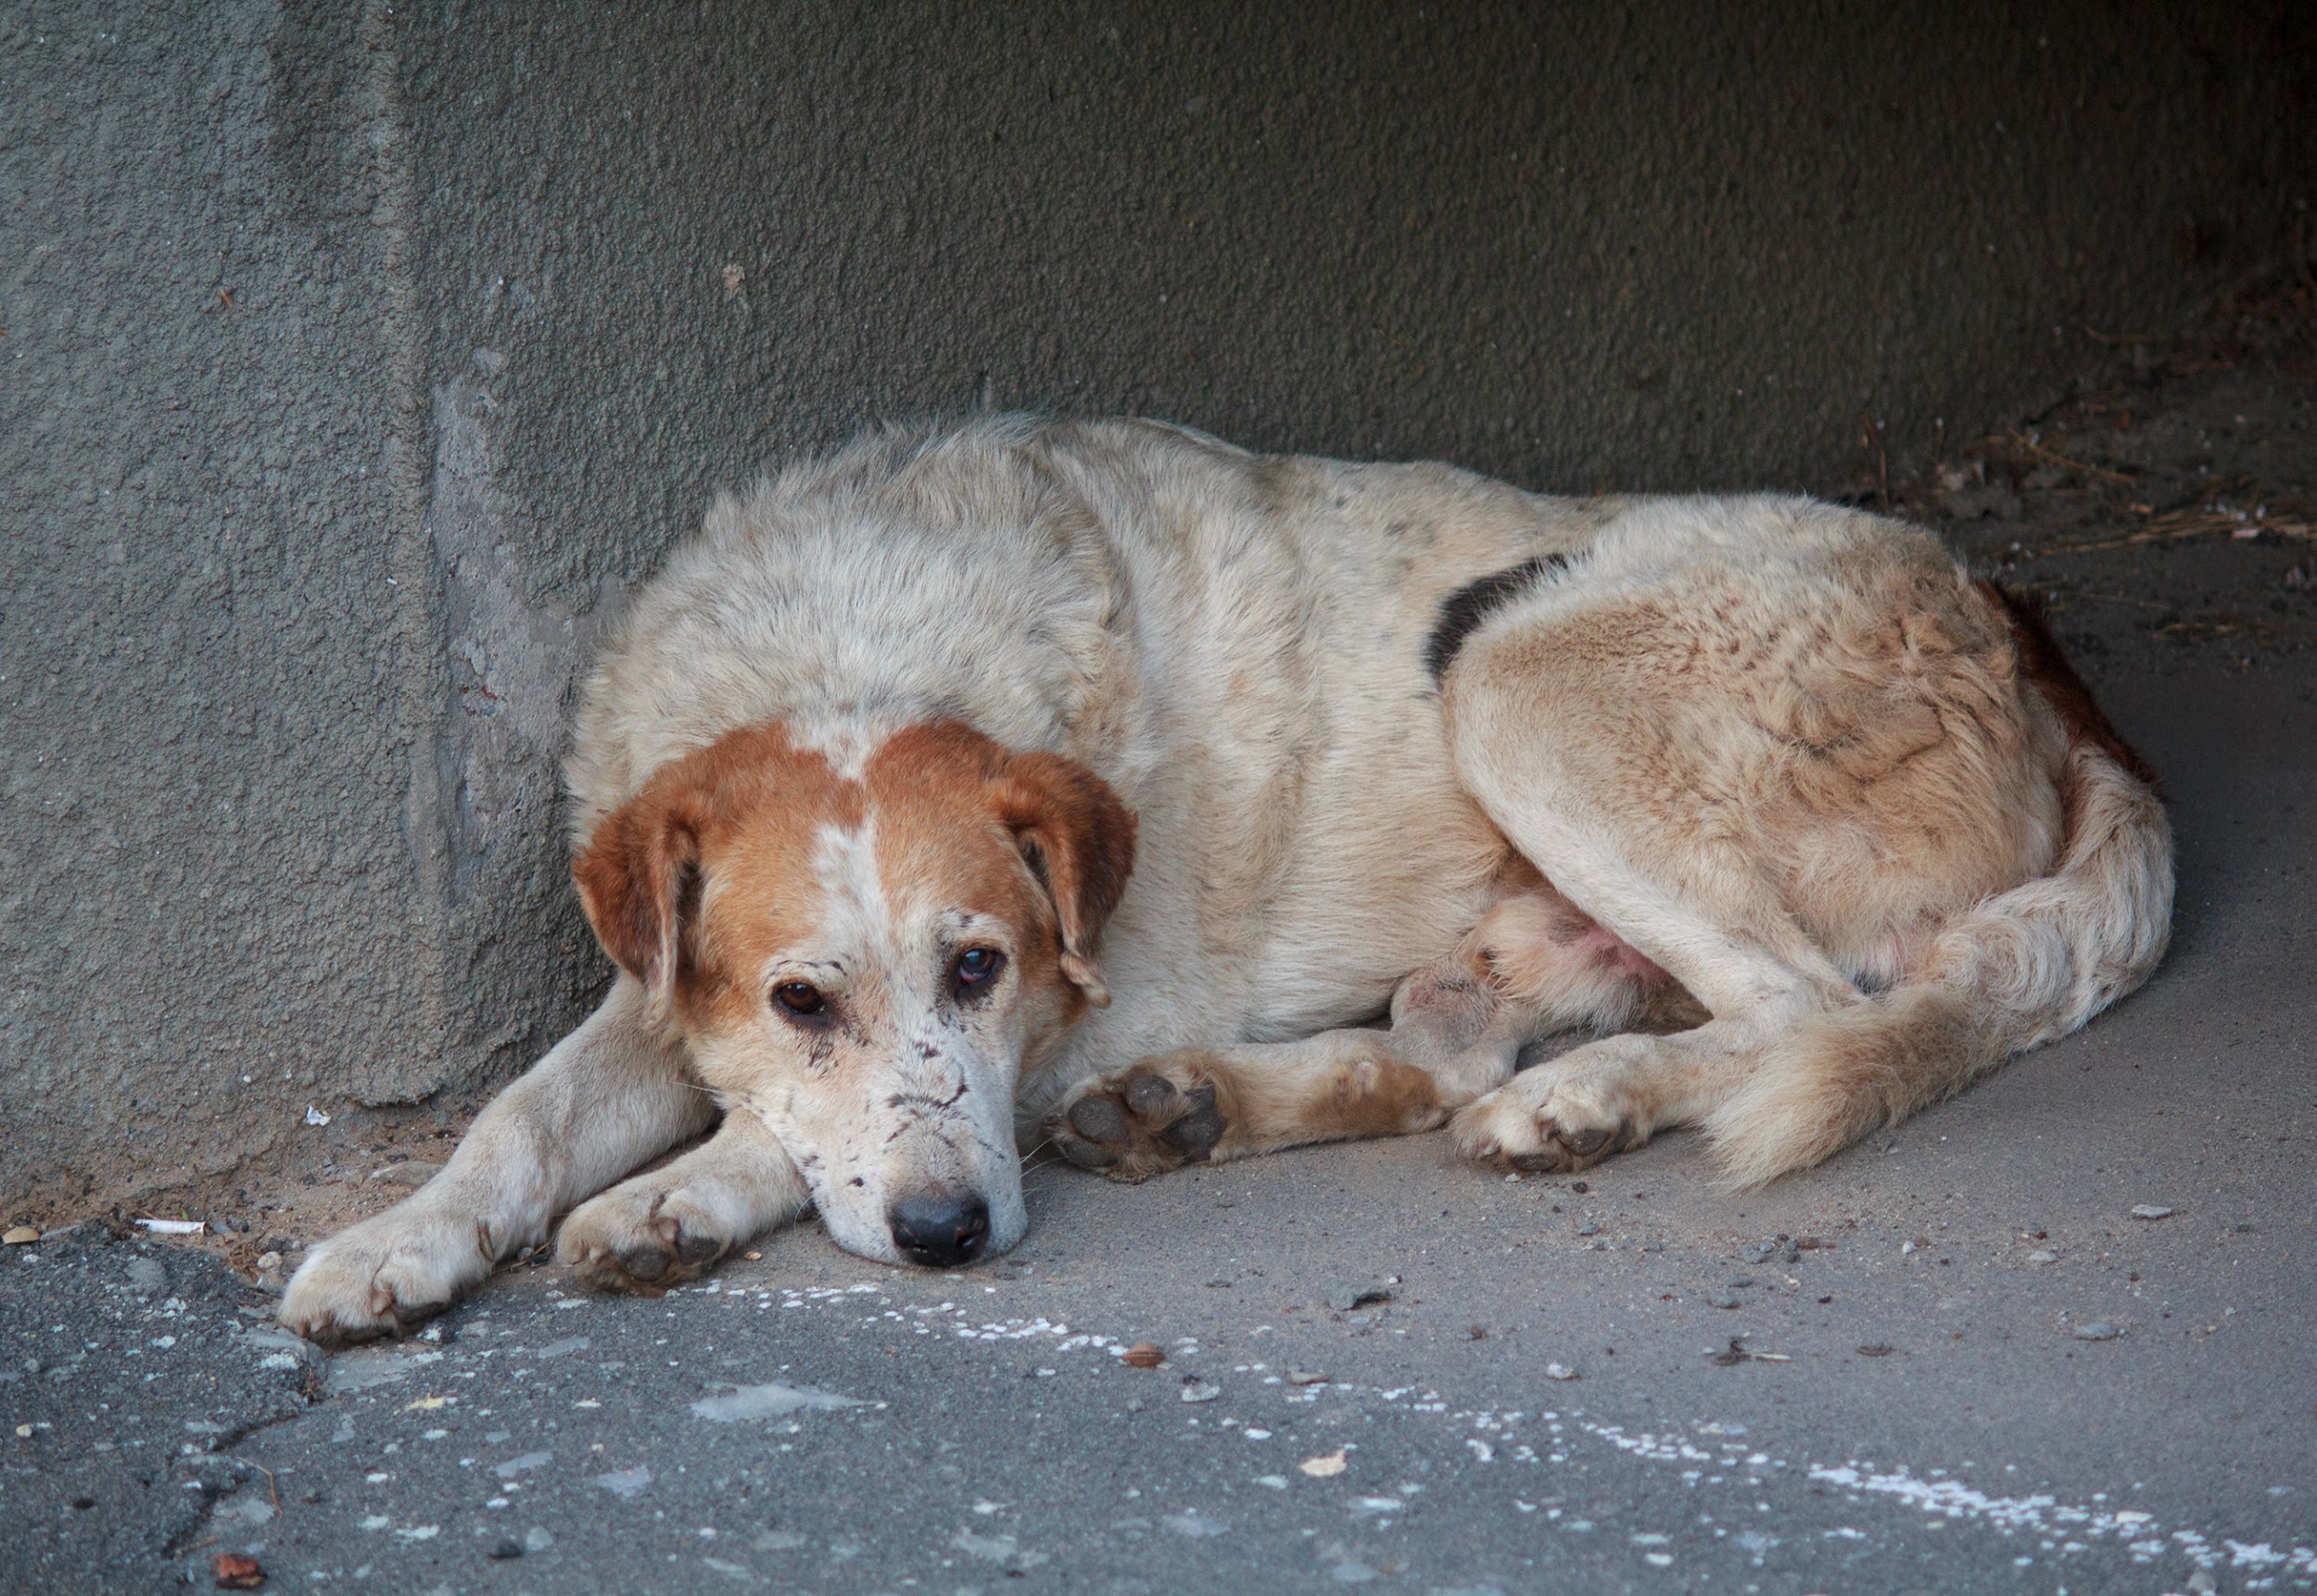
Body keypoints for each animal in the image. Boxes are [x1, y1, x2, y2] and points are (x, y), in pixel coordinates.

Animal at [275, 416, 2169, 1334]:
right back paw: (1201, 1111)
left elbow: (793, 1133)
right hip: (1497, 886)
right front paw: (397, 1240)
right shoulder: (657, 989)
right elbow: (520, 1116)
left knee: (1792, 1008)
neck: (856, 639)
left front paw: (674, 1202)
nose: (955, 1244)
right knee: (1446, 1050)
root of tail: (2026, 637)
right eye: (800, 993)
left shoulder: (1091, 998)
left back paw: (1585, 1101)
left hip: (1513, 669)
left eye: (983, 967)